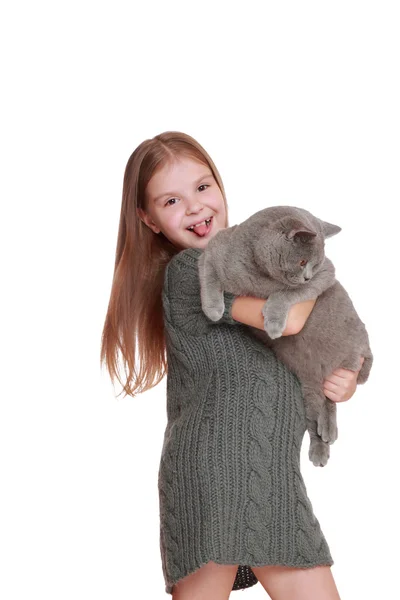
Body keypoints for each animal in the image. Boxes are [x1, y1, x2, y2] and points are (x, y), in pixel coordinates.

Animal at [198, 204, 374, 466]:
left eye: (316, 264)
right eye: (302, 261)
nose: (308, 275)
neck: (259, 277)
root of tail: (367, 349)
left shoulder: (326, 274)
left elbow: (285, 293)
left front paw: (273, 324)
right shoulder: (213, 249)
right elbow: (209, 275)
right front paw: (213, 309)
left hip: (344, 363)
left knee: (330, 400)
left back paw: (327, 436)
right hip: (309, 383)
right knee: (320, 406)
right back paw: (323, 441)